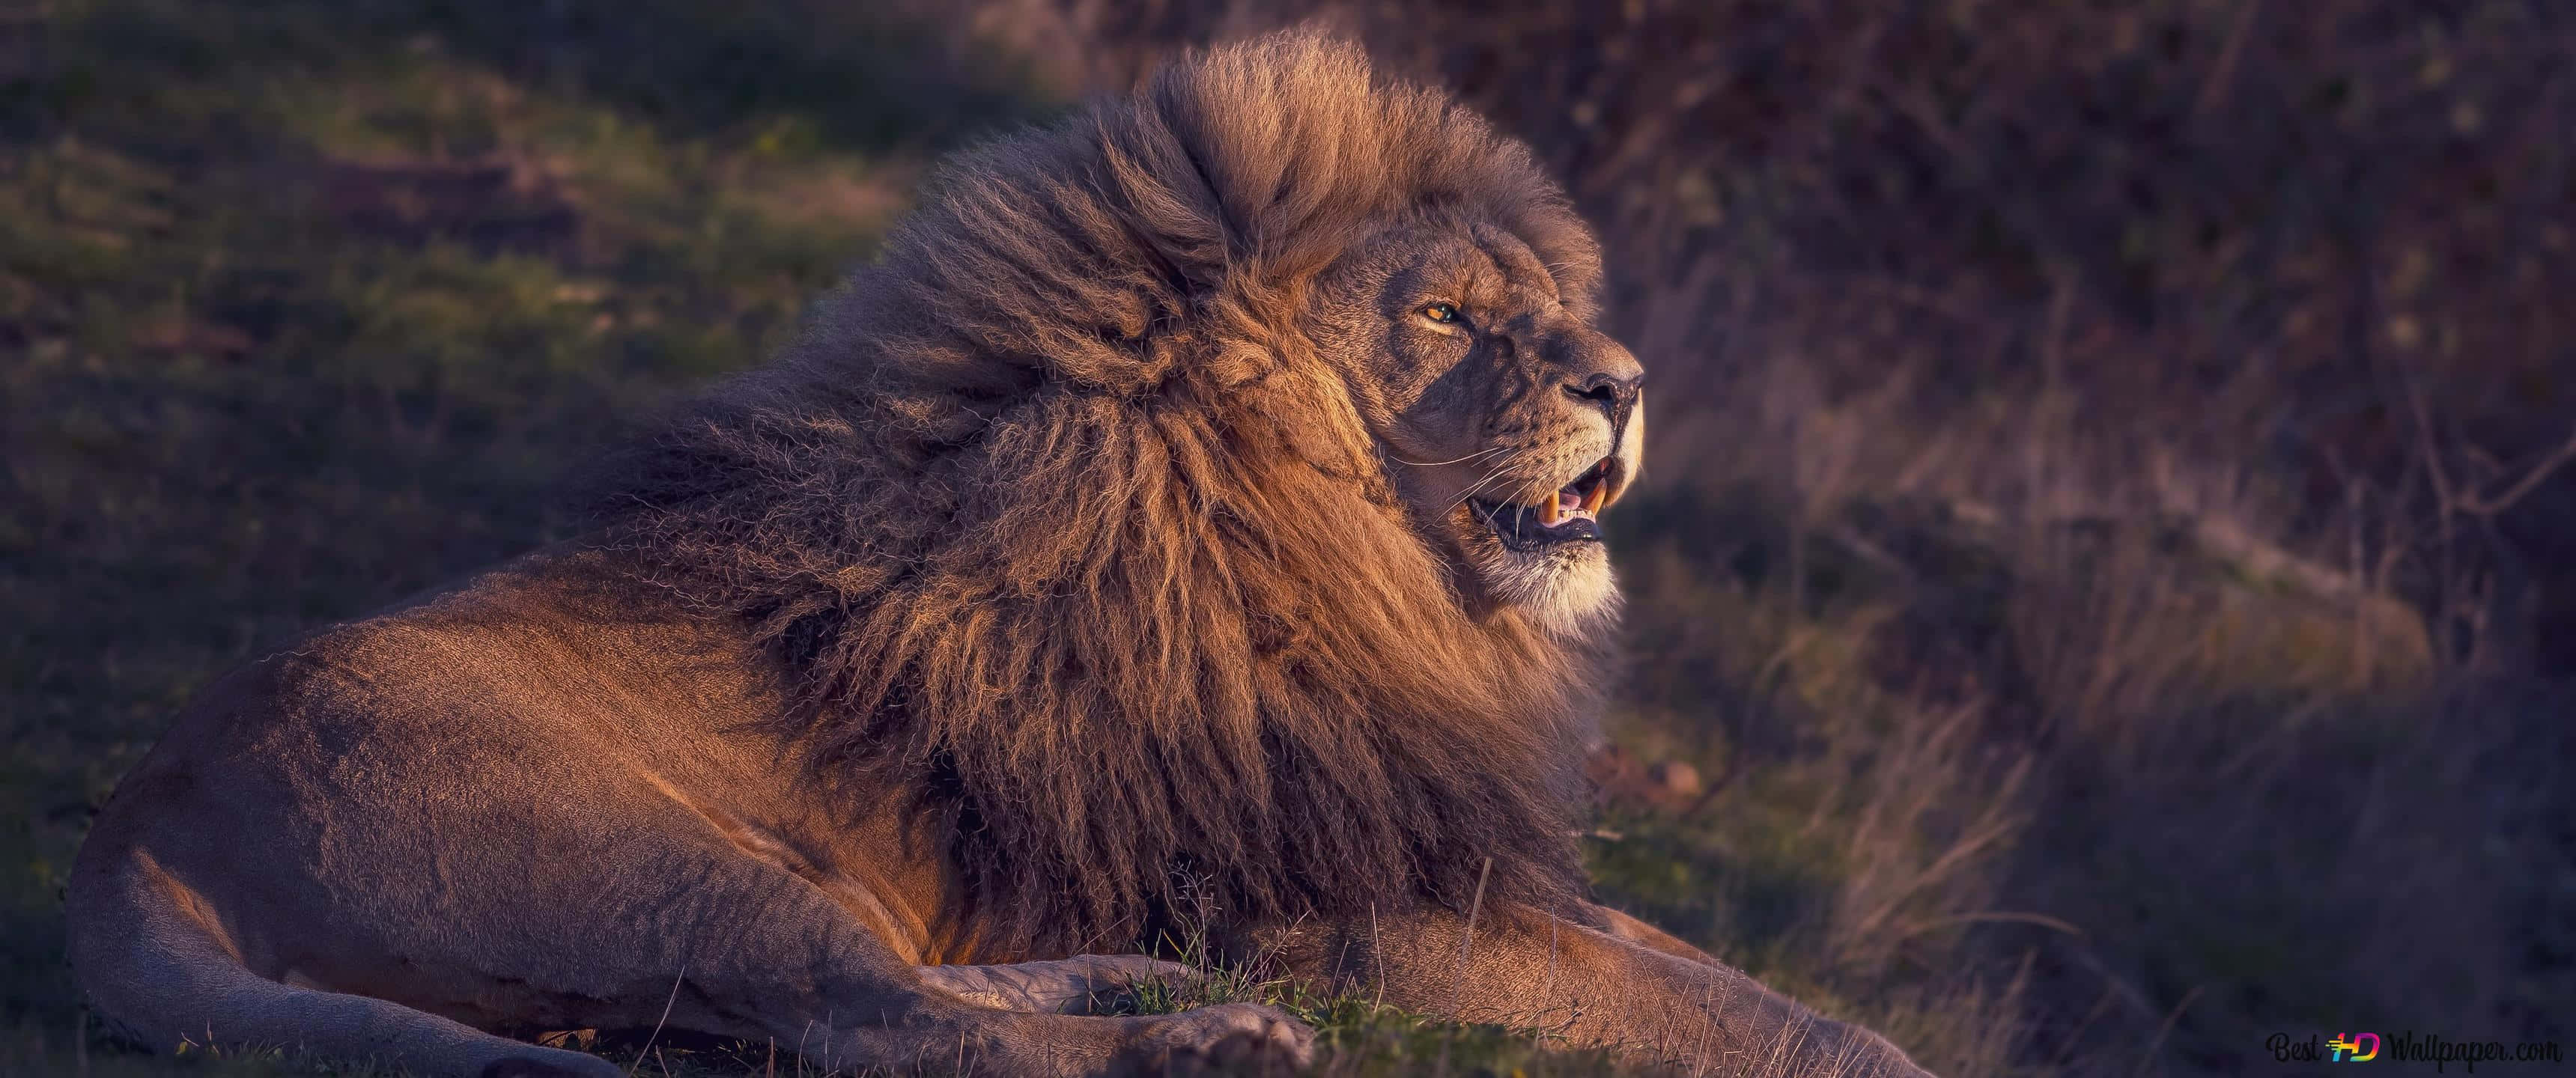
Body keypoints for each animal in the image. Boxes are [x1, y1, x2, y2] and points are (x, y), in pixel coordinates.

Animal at [67, 31, 1931, 1078]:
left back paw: (1139, 990)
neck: (1347, 574)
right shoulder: (1347, 927)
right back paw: (1208, 1048)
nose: (1624, 383)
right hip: (645, 861)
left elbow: (1734, 985)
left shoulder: (1453, 865)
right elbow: (1749, 1025)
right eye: (1449, 319)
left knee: (886, 1005)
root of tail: (127, 825)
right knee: (885, 1037)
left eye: (1545, 309)